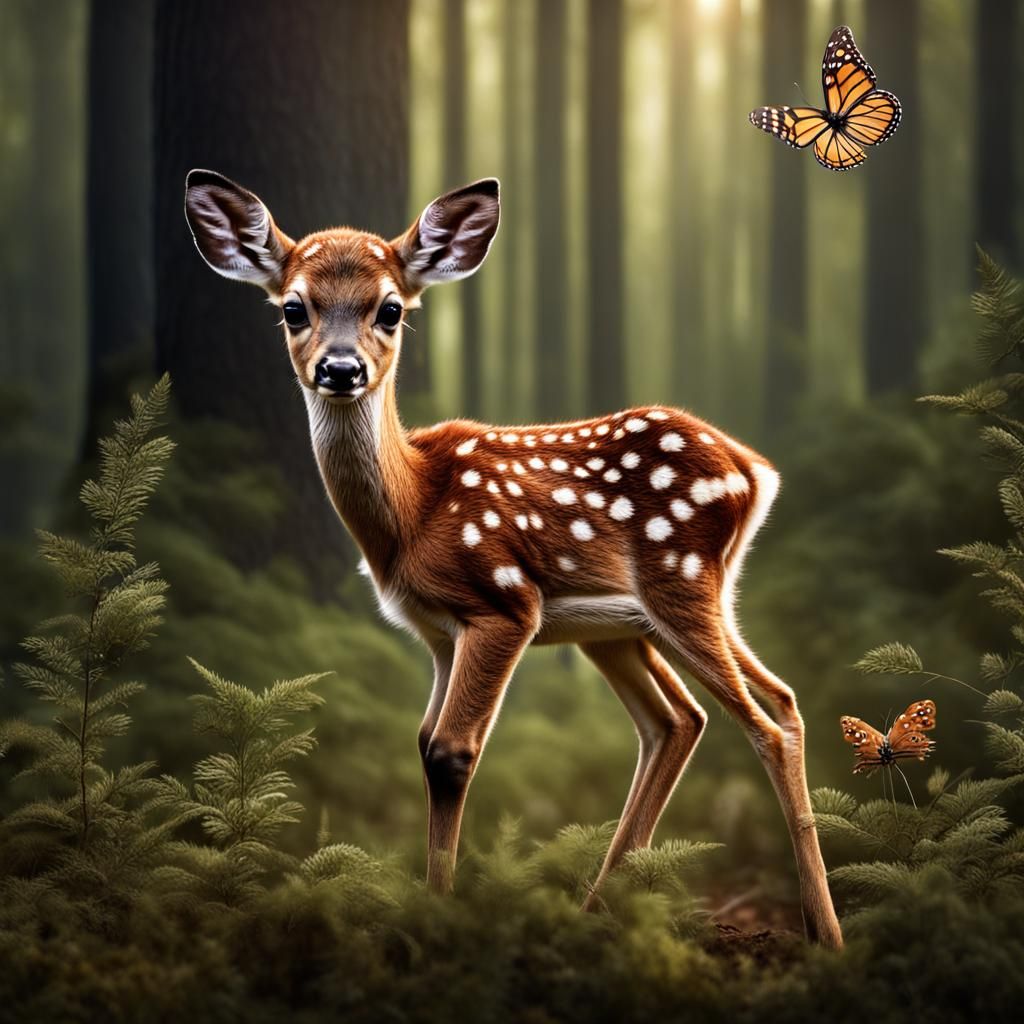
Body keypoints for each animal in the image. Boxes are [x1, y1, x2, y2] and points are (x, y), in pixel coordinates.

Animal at [184, 169, 843, 949]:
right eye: (293, 308)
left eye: (390, 309)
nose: (340, 369)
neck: (412, 511)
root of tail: (753, 471)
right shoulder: (438, 633)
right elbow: (422, 744)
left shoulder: (503, 604)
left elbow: (451, 752)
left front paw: (438, 917)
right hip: (631, 624)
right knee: (707, 715)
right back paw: (603, 911)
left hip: (679, 583)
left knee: (758, 723)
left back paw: (824, 933)